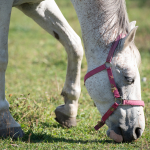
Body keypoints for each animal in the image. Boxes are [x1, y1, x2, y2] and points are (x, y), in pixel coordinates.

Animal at [0, 0, 145, 142]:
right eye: (129, 78)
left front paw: (69, 110)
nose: (137, 131)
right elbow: (3, 60)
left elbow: (74, 45)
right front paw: (7, 122)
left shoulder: (36, 5)